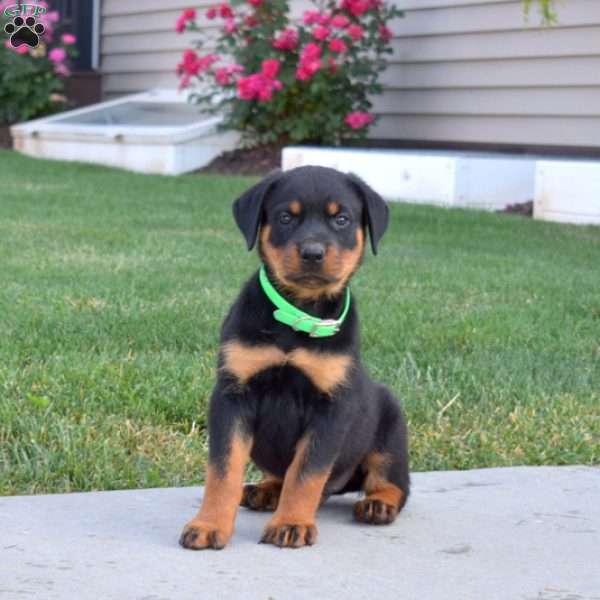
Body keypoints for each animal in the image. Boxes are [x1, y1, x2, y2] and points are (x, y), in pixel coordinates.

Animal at [180, 166, 410, 552]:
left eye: (341, 219)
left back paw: (378, 504)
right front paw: (209, 524)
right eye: (286, 217)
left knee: (396, 483)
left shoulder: (332, 407)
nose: (313, 252)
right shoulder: (231, 396)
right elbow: (223, 470)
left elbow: (306, 472)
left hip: (391, 427)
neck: (298, 314)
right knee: (277, 474)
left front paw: (291, 523)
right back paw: (265, 490)